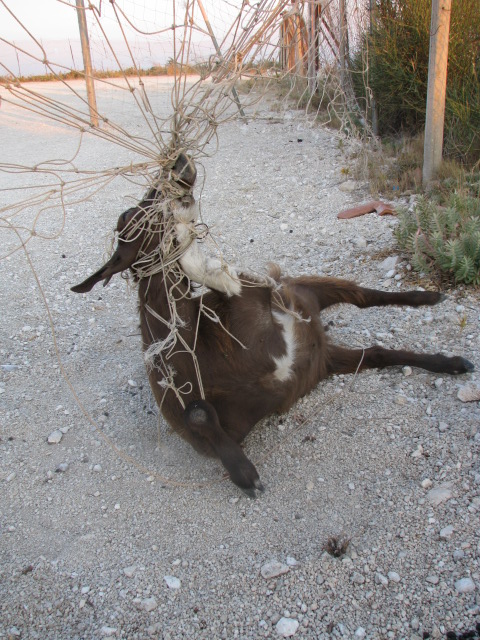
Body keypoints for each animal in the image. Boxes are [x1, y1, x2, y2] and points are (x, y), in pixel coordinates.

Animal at [72, 153, 474, 497]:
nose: (178, 163)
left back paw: (430, 303)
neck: (199, 350)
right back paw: (452, 360)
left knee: (362, 295)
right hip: (325, 356)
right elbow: (197, 412)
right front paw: (246, 475)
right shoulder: (200, 424)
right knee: (375, 350)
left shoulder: (257, 299)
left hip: (305, 295)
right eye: (132, 215)